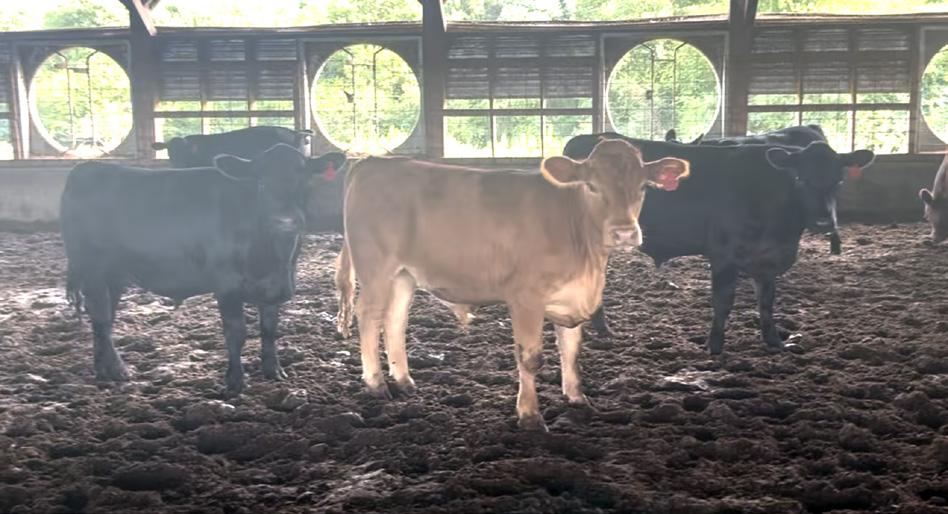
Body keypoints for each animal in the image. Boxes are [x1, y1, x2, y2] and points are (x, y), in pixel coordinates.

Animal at [61, 144, 347, 393]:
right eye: (261, 182)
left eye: (304, 180)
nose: (285, 220)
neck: (274, 256)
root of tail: (86, 168)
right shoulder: (227, 286)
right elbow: (236, 333)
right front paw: (235, 381)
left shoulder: (273, 286)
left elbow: (269, 330)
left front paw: (273, 370)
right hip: (92, 267)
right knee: (101, 316)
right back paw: (115, 369)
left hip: (114, 275)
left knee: (103, 318)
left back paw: (105, 369)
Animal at [336, 139, 690, 430]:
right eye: (591, 185)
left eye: (643, 186)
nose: (625, 233)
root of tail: (374, 162)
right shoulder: (525, 298)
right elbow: (530, 358)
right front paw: (530, 416)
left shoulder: (571, 296)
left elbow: (571, 349)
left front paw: (578, 399)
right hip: (376, 267)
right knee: (369, 315)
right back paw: (376, 384)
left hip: (404, 275)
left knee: (394, 319)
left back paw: (404, 380)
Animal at [562, 134, 874, 353]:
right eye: (799, 178)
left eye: (839, 180)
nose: (823, 221)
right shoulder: (724, 254)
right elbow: (723, 300)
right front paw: (714, 346)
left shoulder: (767, 259)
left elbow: (767, 301)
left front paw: (774, 341)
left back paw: (602, 330)